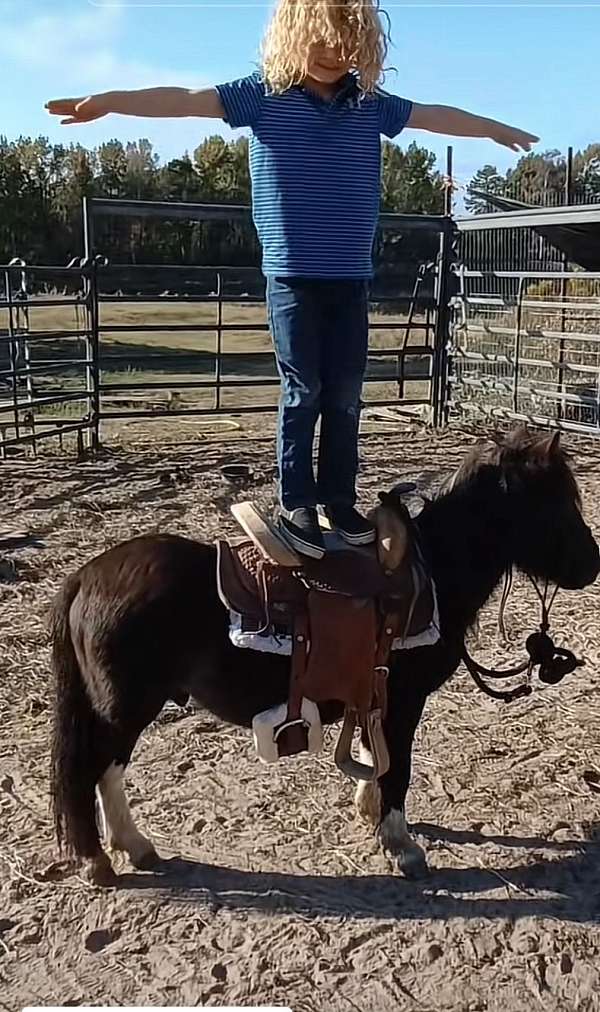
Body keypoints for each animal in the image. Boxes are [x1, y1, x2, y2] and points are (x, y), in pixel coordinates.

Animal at [49, 431, 594, 882]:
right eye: (555, 502)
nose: (593, 566)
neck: (433, 571)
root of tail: (85, 576)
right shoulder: (404, 699)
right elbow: (398, 768)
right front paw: (401, 845)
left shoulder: (374, 694)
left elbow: (375, 754)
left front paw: (369, 810)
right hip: (125, 707)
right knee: (91, 770)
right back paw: (103, 857)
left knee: (104, 771)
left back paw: (130, 847)